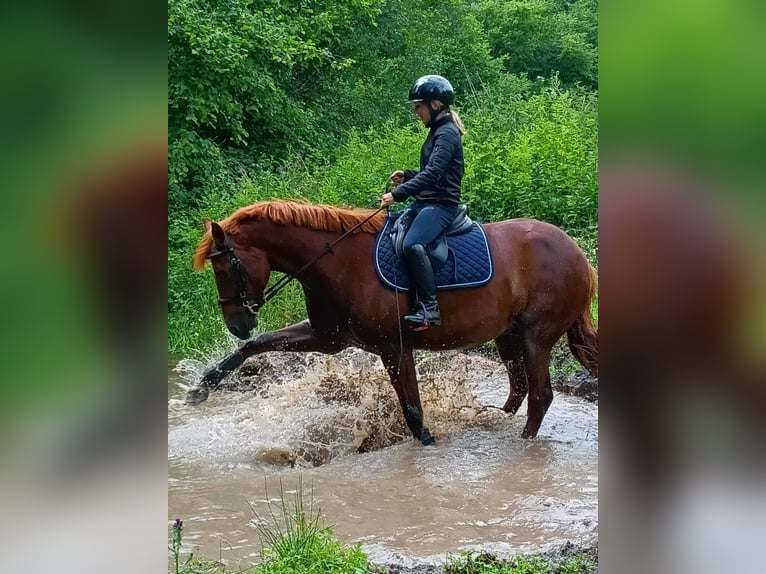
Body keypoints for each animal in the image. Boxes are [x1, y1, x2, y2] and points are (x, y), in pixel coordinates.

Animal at [188, 202, 600, 446]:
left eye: (226, 268)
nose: (237, 324)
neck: (342, 263)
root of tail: (579, 254)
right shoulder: (327, 338)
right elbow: (257, 345)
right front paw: (203, 386)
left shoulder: (394, 346)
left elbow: (412, 409)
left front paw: (426, 444)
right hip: (508, 337)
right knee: (518, 390)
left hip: (536, 337)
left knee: (540, 395)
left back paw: (523, 444)